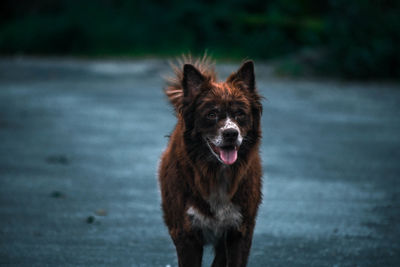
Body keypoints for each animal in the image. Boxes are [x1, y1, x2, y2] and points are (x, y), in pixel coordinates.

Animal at [158, 55, 264, 267]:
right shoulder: (186, 234)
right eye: (212, 114)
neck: (216, 172)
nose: (231, 134)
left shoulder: (239, 232)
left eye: (240, 114)